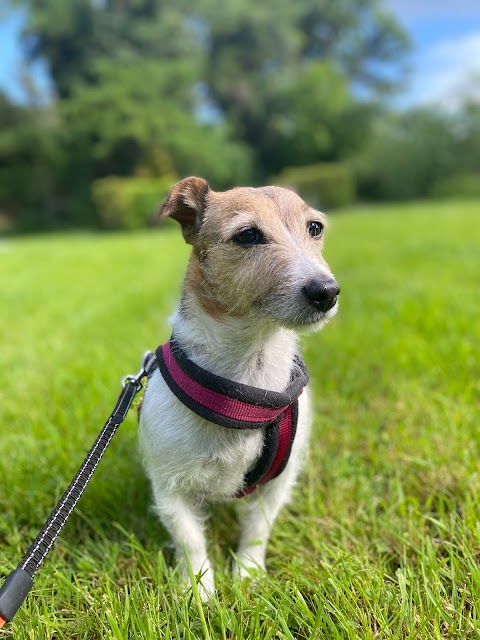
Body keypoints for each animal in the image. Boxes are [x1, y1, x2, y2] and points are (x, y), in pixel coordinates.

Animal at [139, 176, 340, 600]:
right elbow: (190, 541)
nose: (326, 291)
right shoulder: (170, 488)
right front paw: (199, 591)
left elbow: (257, 530)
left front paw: (247, 574)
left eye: (315, 227)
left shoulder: (277, 484)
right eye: (248, 235)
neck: (246, 389)